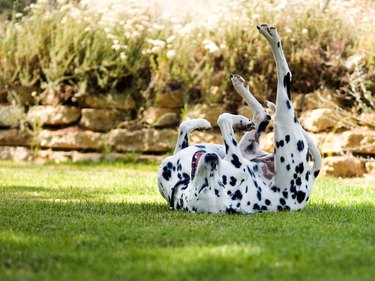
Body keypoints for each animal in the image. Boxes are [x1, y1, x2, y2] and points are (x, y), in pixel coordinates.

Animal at [157, 23, 322, 212]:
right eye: (206, 187)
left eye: (217, 184)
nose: (213, 158)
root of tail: (310, 179)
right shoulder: (237, 166)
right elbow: (220, 118)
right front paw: (234, 121)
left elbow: (190, 123)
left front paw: (205, 123)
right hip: (284, 126)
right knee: (283, 81)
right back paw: (271, 37)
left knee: (264, 114)